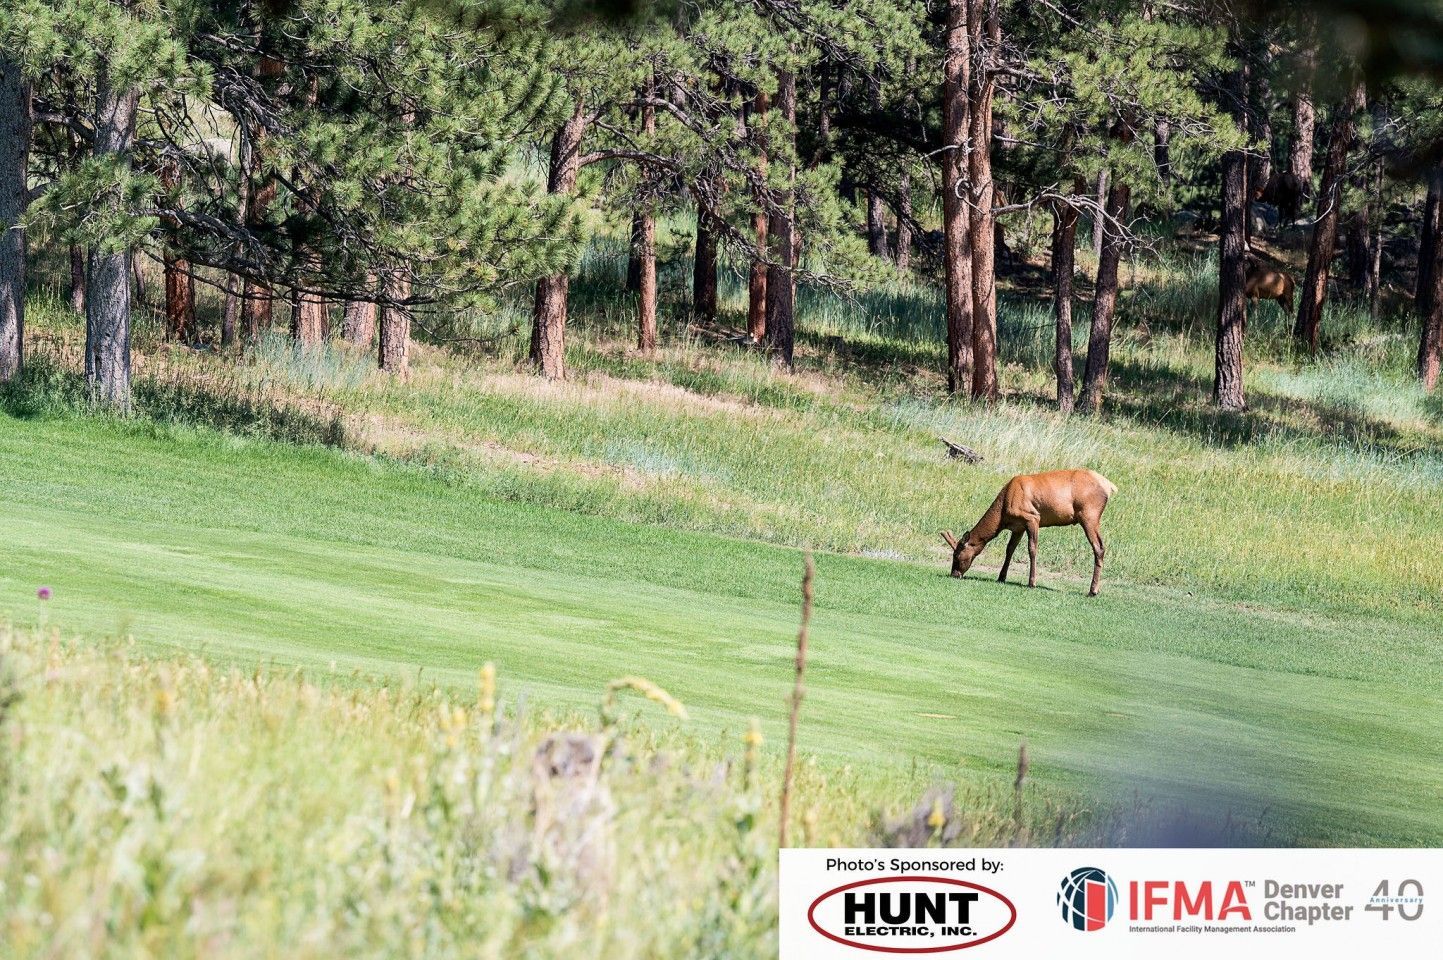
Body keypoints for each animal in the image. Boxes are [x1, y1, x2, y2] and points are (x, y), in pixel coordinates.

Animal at [941, 469, 1117, 597]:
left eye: (956, 555)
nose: (954, 574)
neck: (1003, 512)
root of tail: (1109, 486)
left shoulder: (1032, 518)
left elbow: (1032, 549)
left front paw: (1032, 583)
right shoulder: (1018, 527)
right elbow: (1009, 549)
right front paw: (1001, 577)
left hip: (1089, 515)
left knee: (1099, 547)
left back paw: (1093, 590)